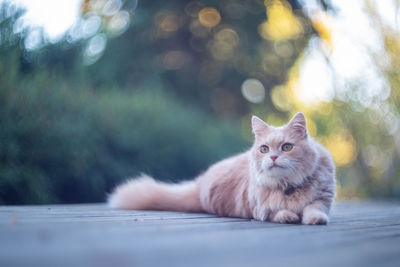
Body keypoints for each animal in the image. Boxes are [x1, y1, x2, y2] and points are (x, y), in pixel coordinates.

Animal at [108, 113, 336, 226]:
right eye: (264, 149)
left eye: (287, 147)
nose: (272, 157)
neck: (287, 185)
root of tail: (199, 184)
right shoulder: (260, 210)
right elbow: (279, 212)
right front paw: (289, 216)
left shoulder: (323, 198)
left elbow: (314, 208)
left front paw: (314, 219)